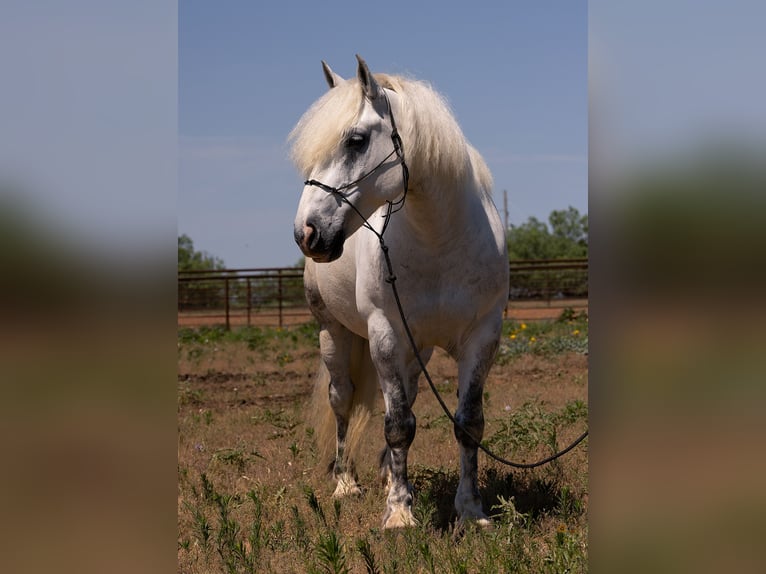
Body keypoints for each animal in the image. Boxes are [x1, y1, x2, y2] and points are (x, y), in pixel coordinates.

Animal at [292, 56, 508, 528]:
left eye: (355, 141)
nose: (306, 233)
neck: (439, 242)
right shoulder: (385, 335)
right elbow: (396, 425)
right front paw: (398, 515)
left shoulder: (482, 337)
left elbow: (467, 423)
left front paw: (470, 512)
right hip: (333, 333)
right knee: (343, 401)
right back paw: (346, 483)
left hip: (417, 349)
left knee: (406, 398)